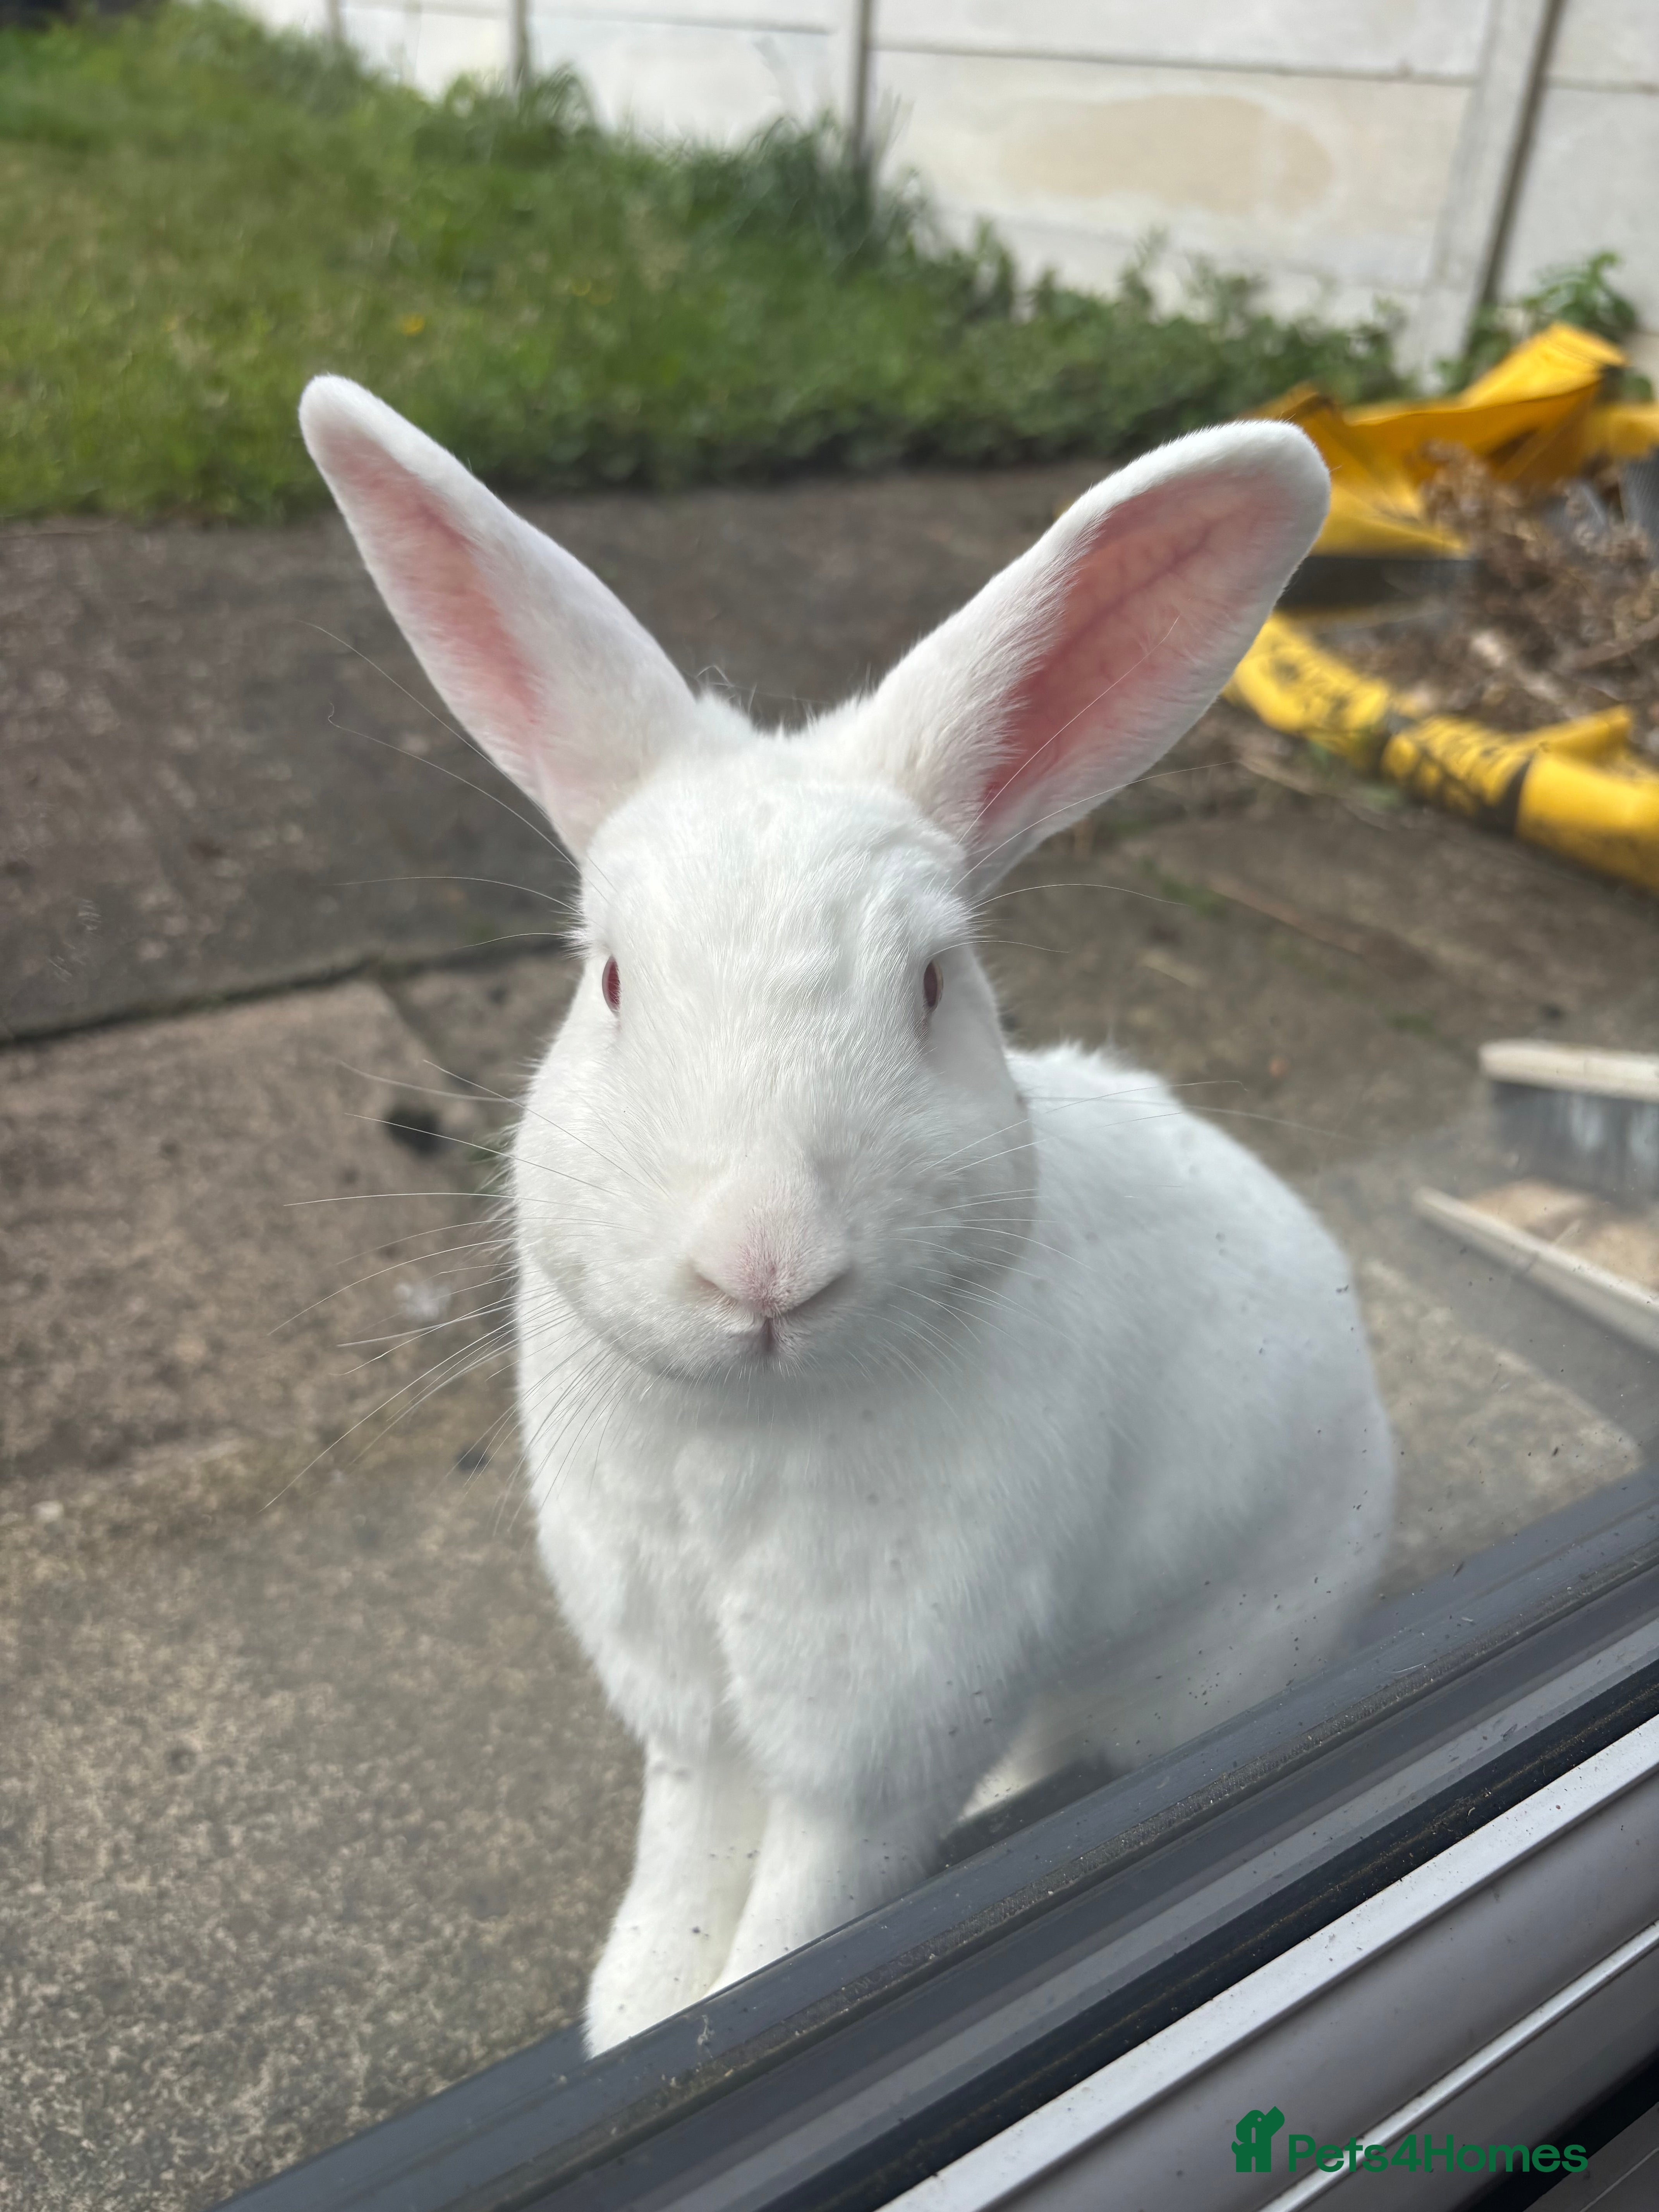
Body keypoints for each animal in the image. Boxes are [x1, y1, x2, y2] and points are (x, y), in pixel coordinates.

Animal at [299, 376, 1395, 2055]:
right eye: (609, 980)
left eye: (934, 986)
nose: (765, 1268)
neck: (744, 1435)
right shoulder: (690, 1714)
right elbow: (681, 1875)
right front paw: (635, 2014)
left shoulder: (876, 1740)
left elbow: (797, 1925)